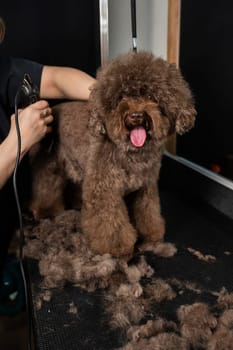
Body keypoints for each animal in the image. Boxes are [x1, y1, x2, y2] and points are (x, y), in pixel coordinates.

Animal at [29, 52, 197, 258]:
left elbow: (148, 212)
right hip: (49, 167)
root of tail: (51, 112)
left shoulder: (145, 187)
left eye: (150, 95)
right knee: (45, 188)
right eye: (121, 96)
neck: (132, 154)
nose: (136, 116)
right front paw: (116, 248)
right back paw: (45, 211)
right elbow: (109, 223)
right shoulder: (104, 189)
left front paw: (151, 235)